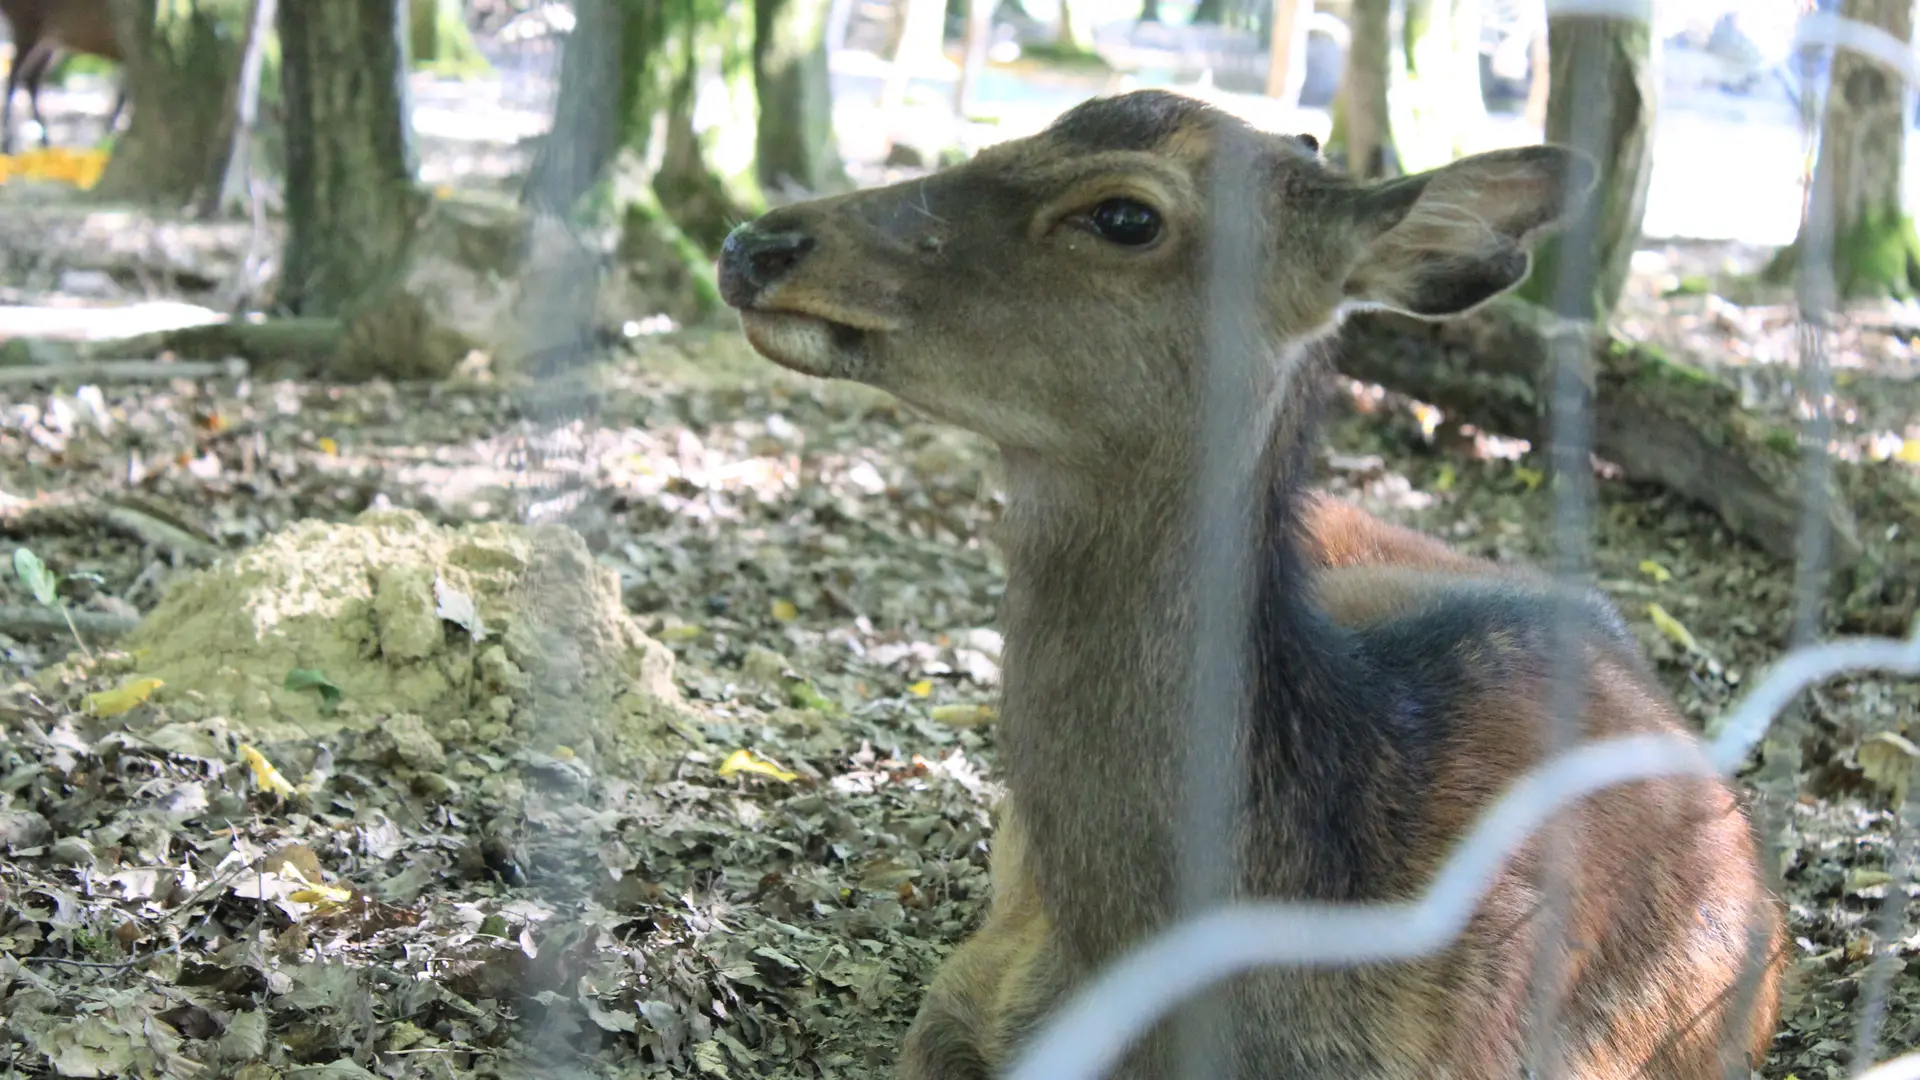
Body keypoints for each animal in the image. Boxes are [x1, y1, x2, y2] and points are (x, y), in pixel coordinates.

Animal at [1, 0, 123, 156]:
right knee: (14, 77)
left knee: (30, 78)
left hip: (49, 38)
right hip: (27, 26)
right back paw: (7, 147)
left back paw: (46, 146)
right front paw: (103, 142)